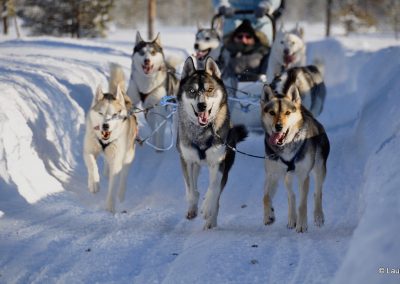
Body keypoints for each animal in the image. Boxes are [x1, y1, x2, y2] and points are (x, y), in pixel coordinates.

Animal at [83, 63, 138, 211]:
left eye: (114, 115)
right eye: (101, 113)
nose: (105, 126)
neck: (104, 140)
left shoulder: (117, 161)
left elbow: (113, 186)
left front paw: (110, 207)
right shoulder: (89, 149)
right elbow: (92, 165)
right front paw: (94, 183)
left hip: (127, 156)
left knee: (123, 178)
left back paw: (121, 195)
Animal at [177, 56, 248, 230]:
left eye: (209, 90)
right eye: (192, 91)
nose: (201, 105)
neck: (203, 132)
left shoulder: (218, 162)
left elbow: (214, 188)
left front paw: (207, 207)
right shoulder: (187, 160)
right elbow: (191, 189)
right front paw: (192, 207)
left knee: (217, 196)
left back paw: (211, 220)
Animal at [260, 82, 330, 233]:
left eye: (287, 113)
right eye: (272, 112)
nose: (278, 126)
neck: (286, 146)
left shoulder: (303, 175)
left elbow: (303, 203)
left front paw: (302, 225)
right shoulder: (272, 174)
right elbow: (266, 197)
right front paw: (269, 215)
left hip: (319, 169)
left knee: (317, 192)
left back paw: (318, 216)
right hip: (287, 177)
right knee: (291, 196)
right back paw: (292, 219)